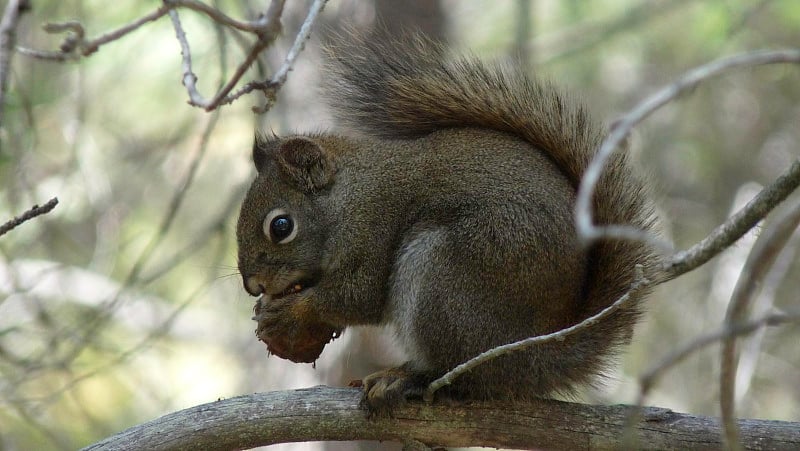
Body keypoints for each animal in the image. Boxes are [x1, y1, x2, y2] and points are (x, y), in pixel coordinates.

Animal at [236, 36, 656, 416]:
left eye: (281, 226)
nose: (251, 285)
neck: (348, 198)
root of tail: (532, 361)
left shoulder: (373, 230)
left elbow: (355, 298)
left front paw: (291, 313)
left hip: (444, 274)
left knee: (457, 373)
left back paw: (406, 378)